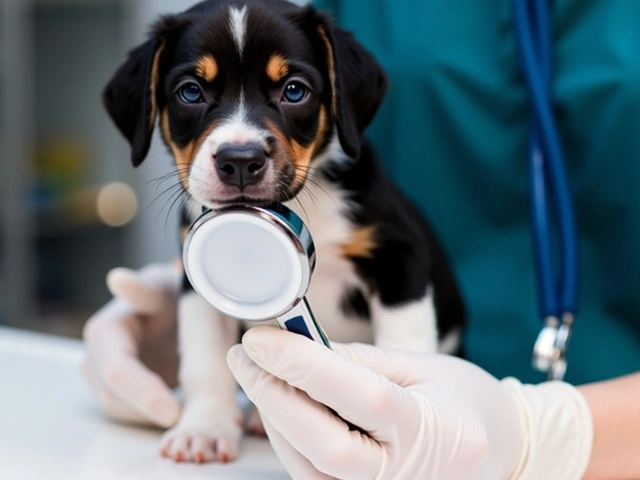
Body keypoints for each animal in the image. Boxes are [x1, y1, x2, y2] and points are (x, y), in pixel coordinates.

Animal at [105, 0, 464, 464]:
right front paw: (203, 427)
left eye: (294, 91)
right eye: (190, 92)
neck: (303, 203)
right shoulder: (193, 282)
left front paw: (414, 418)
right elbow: (204, 360)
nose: (240, 160)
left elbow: (405, 343)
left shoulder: (399, 257)